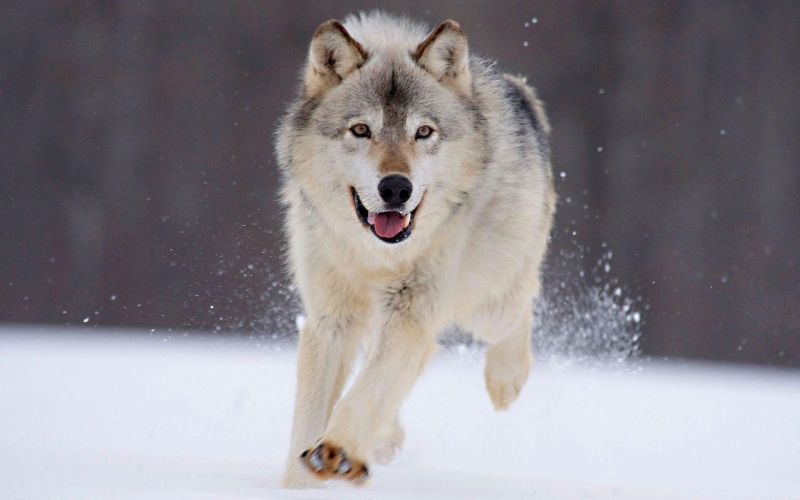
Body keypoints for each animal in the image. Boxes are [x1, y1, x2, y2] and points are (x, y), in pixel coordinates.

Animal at [275, 11, 556, 488]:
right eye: (361, 130)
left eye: (423, 132)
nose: (396, 188)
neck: (375, 257)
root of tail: (519, 91)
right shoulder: (330, 320)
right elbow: (310, 418)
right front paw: (303, 481)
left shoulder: (411, 311)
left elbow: (366, 392)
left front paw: (338, 450)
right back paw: (385, 440)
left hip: (486, 302)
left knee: (522, 301)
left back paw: (506, 379)